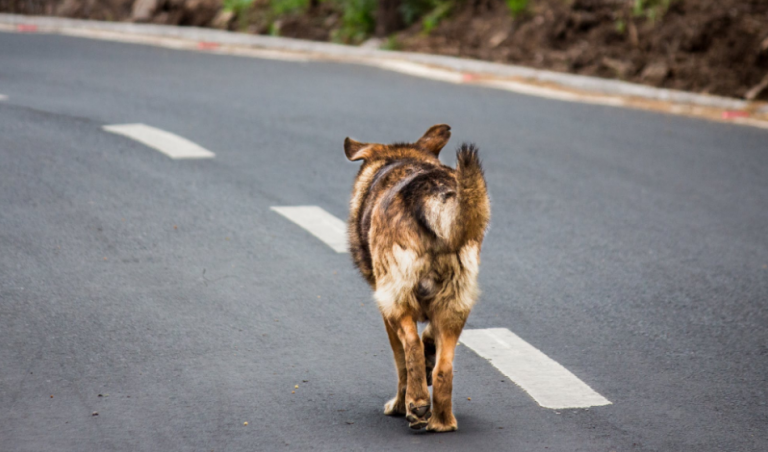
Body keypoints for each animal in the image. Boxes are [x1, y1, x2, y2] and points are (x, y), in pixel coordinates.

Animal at [344, 123, 488, 430]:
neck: (402, 160)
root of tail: (431, 195)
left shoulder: (387, 311)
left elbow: (402, 363)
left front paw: (400, 405)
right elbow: (429, 340)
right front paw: (430, 350)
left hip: (397, 303)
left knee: (410, 349)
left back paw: (417, 405)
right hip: (456, 306)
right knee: (443, 370)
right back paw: (442, 421)